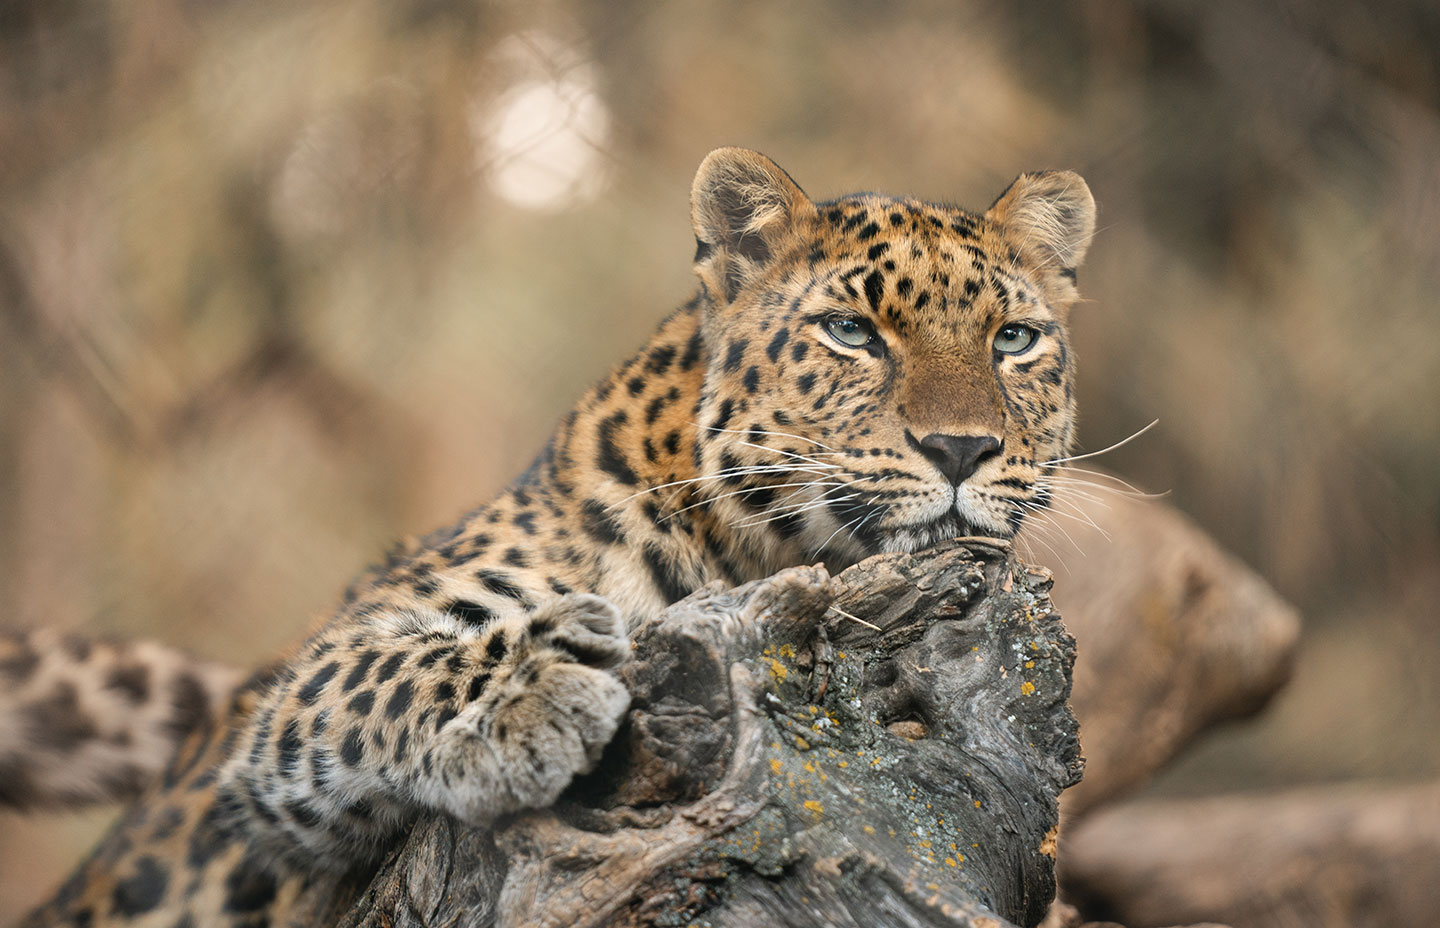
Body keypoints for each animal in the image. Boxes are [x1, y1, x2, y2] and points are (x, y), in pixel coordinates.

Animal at [11, 148, 1094, 922]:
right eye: (853, 332)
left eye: (1014, 340)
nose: (962, 448)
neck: (764, 554)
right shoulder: (293, 708)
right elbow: (387, 670)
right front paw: (530, 689)